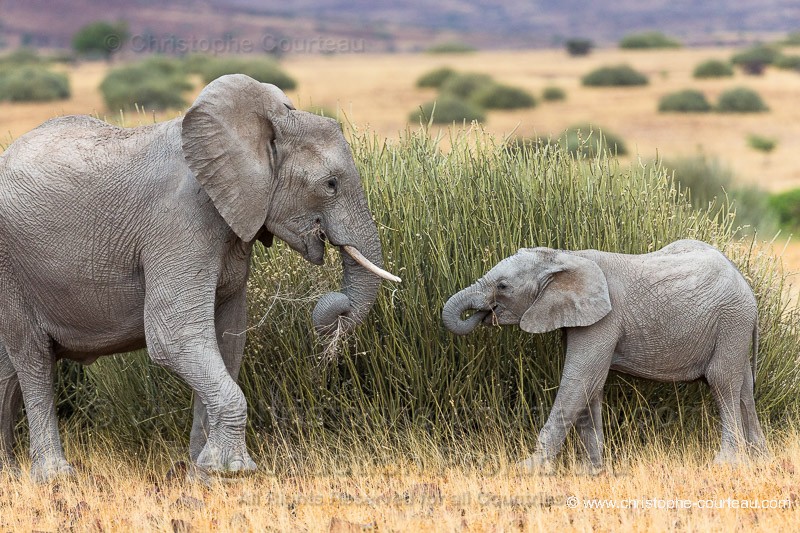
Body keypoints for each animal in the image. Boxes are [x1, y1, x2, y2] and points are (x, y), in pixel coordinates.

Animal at [0, 72, 398, 480]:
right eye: (330, 184)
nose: (337, 310)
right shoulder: (179, 223)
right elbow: (174, 336)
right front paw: (232, 470)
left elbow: (228, 339)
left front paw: (202, 470)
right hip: (12, 269)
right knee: (33, 360)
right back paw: (53, 477)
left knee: (9, 369)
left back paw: (12, 472)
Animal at [444, 239, 768, 468]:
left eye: (503, 286)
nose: (485, 313)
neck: (565, 256)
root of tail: (746, 286)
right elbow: (592, 385)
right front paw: (593, 469)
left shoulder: (604, 320)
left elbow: (580, 379)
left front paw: (528, 468)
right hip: (735, 327)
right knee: (743, 386)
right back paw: (757, 460)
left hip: (731, 320)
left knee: (722, 381)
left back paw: (726, 463)